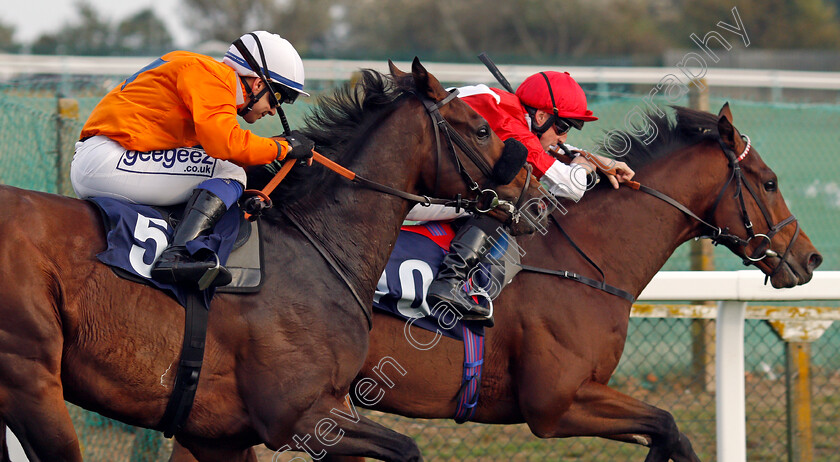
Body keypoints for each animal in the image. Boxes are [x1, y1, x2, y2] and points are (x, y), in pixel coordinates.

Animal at [0, 58, 544, 462]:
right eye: (481, 129)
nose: (535, 196)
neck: (317, 244)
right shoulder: (298, 417)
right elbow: (407, 448)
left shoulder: (217, 433)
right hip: (31, 382)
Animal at [171, 103, 820, 460]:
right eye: (768, 182)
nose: (810, 259)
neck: (584, 261)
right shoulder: (556, 403)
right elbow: (667, 426)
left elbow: (671, 433)